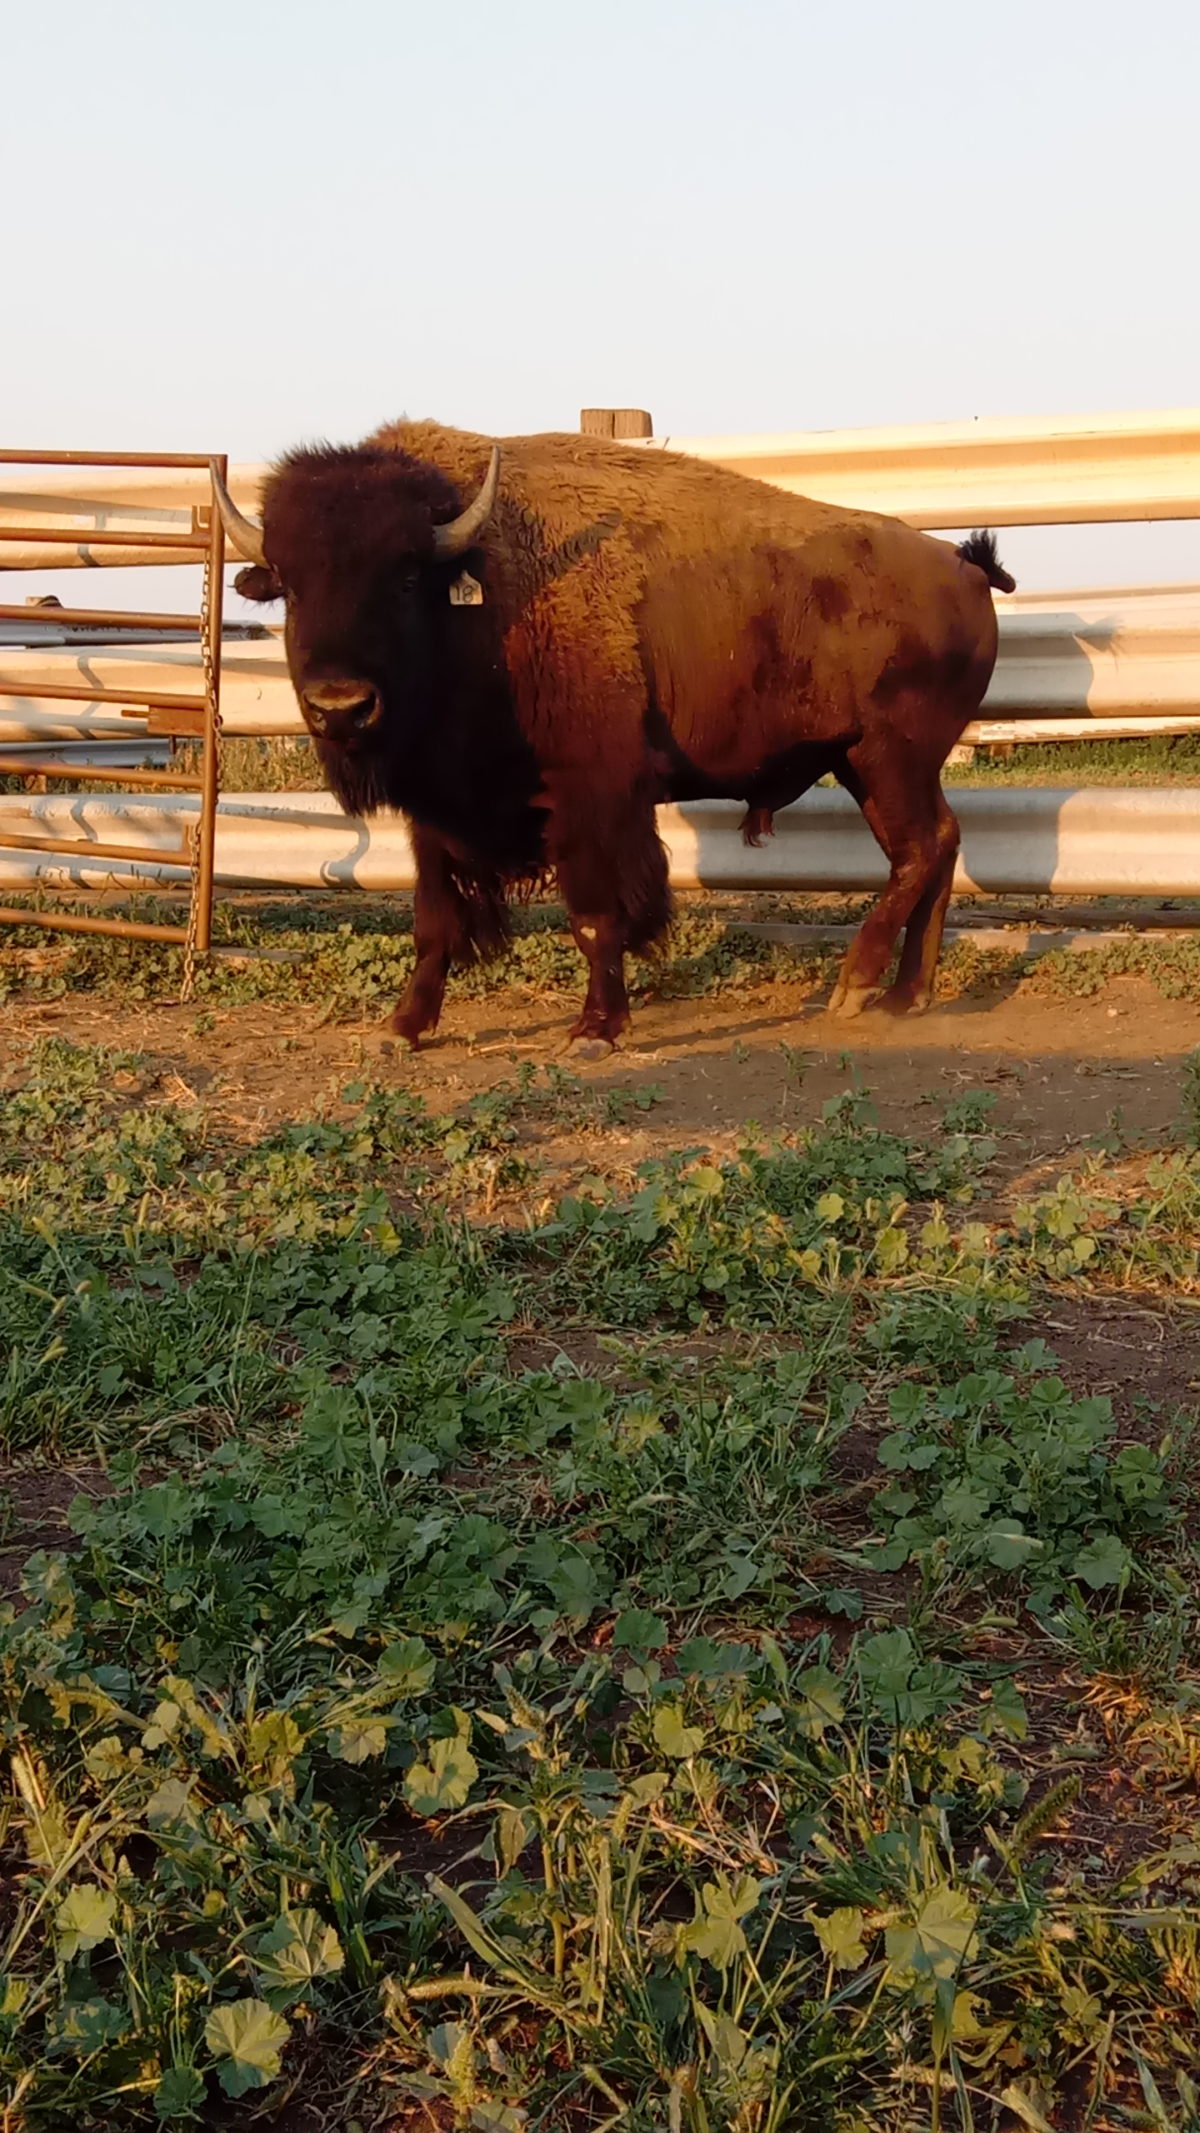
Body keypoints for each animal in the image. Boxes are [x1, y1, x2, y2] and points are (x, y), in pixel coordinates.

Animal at [213, 421, 1014, 1053]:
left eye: (406, 578)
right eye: (289, 585)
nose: (341, 707)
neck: (483, 595)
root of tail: (963, 568)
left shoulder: (589, 797)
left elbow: (595, 916)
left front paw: (594, 1031)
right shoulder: (435, 812)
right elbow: (434, 919)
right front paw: (402, 1028)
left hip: (888, 756)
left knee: (922, 849)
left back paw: (855, 986)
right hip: (871, 765)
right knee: (936, 847)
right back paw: (906, 996)